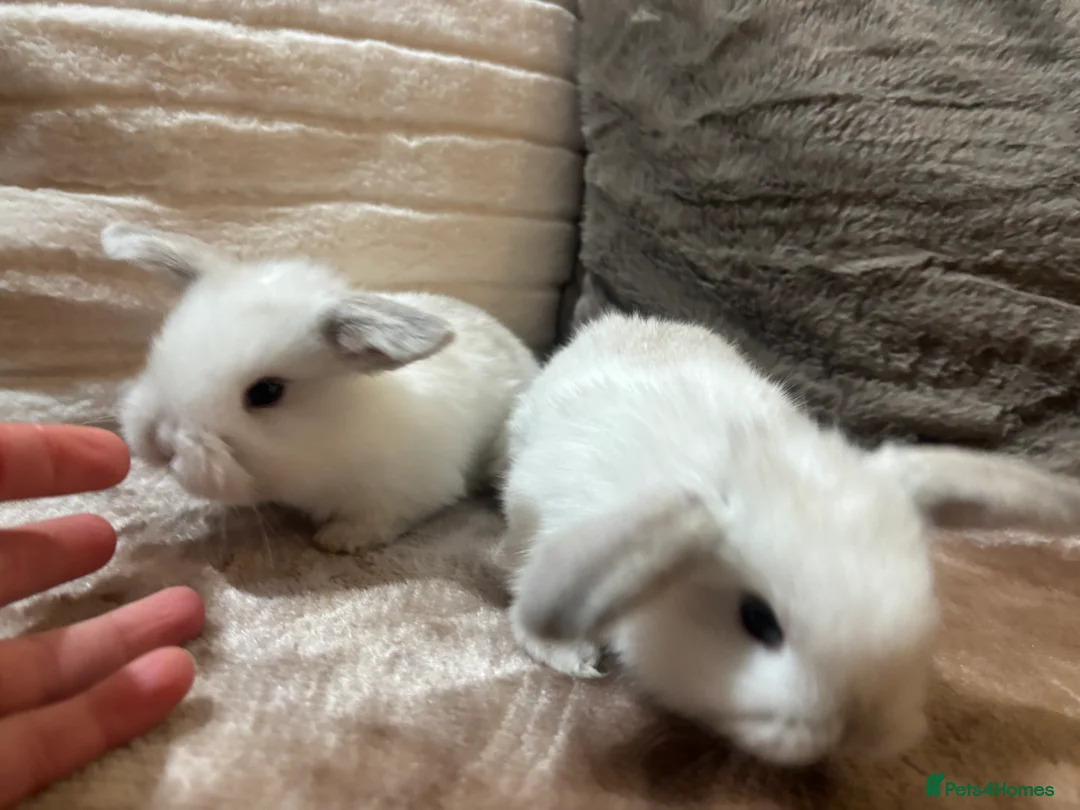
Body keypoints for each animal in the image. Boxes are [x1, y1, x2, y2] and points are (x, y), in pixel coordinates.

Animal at [103, 222, 539, 554]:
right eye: (162, 348)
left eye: (266, 392)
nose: (161, 445)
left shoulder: (410, 491)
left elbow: (380, 518)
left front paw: (340, 540)